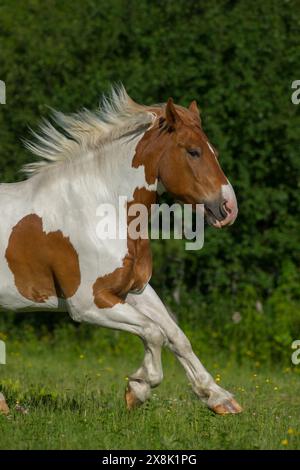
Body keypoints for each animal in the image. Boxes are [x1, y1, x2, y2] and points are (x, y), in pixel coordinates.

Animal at [0, 85, 241, 414]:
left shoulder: (134, 289)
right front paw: (138, 387)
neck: (101, 209)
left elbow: (176, 335)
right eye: (193, 151)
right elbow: (154, 332)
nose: (229, 209)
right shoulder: (88, 303)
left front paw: (219, 398)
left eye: (213, 151)